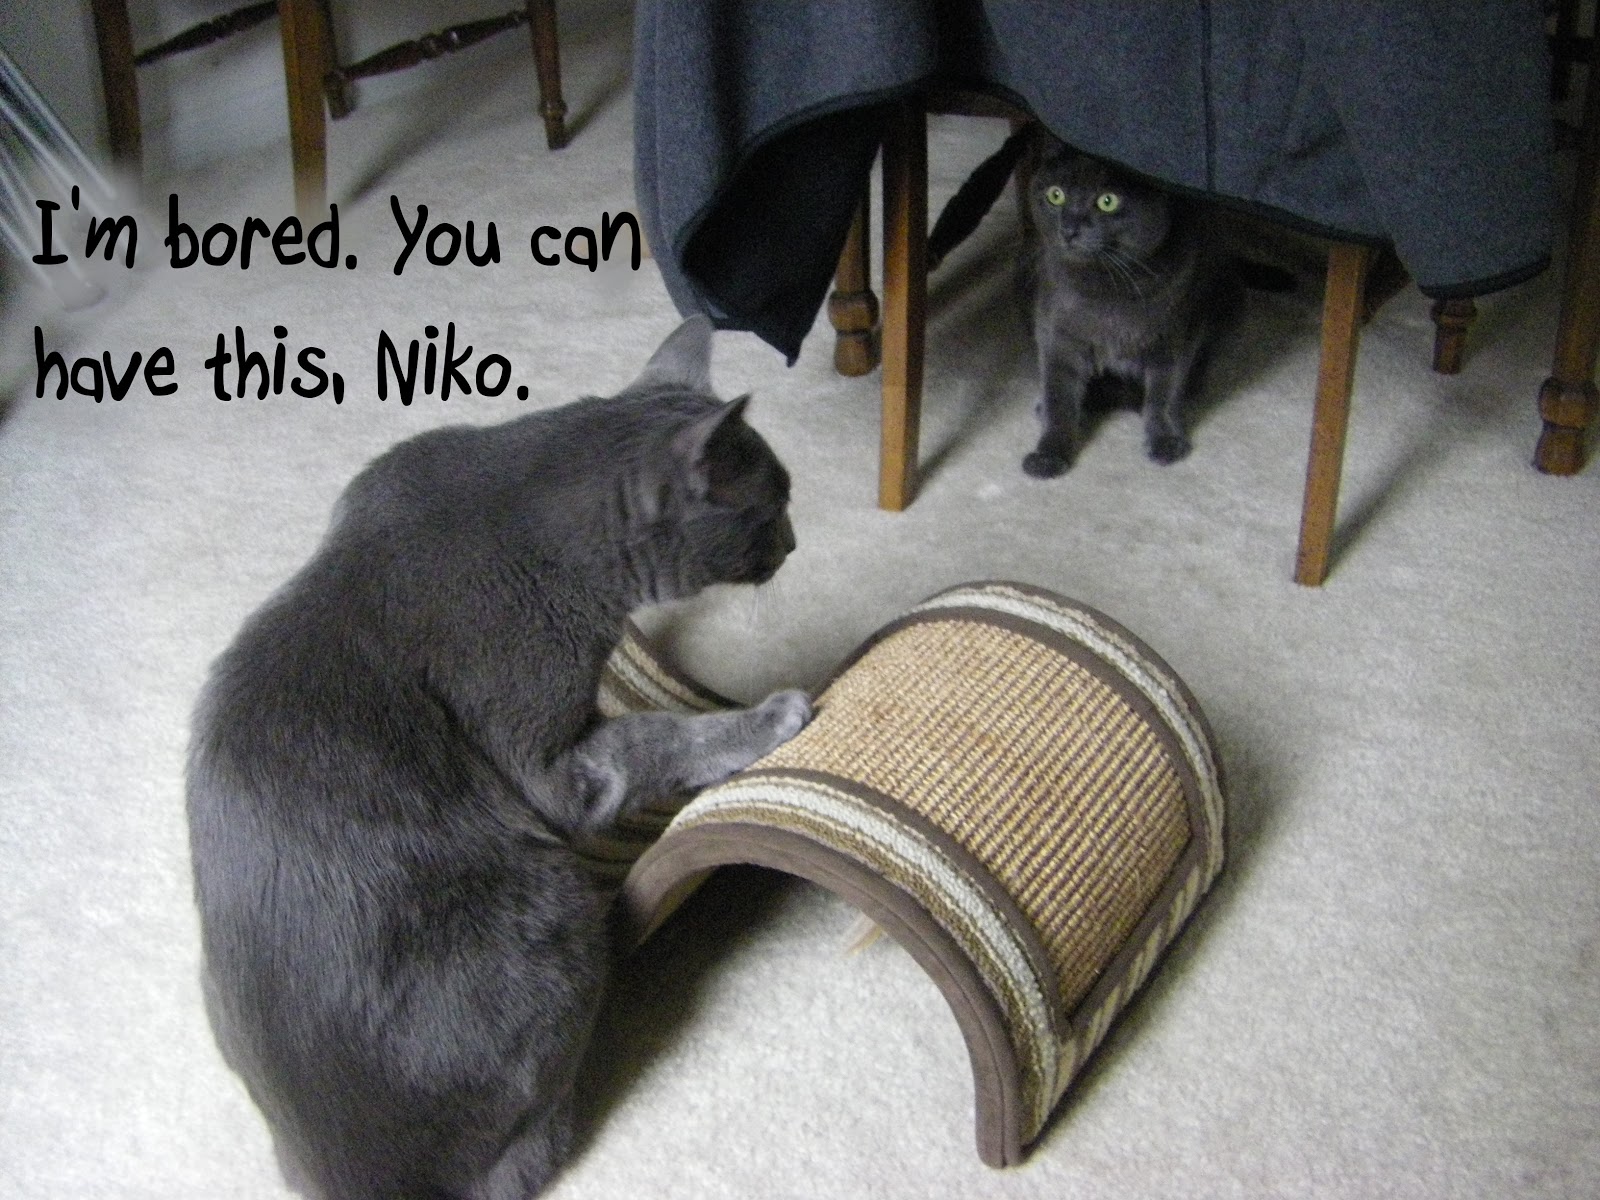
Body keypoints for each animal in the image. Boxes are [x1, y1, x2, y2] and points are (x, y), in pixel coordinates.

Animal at [186, 316, 812, 1200]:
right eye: (773, 507)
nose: (794, 539)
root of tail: (355, 1172)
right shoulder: (551, 761)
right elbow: (653, 737)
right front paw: (771, 715)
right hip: (550, 914)